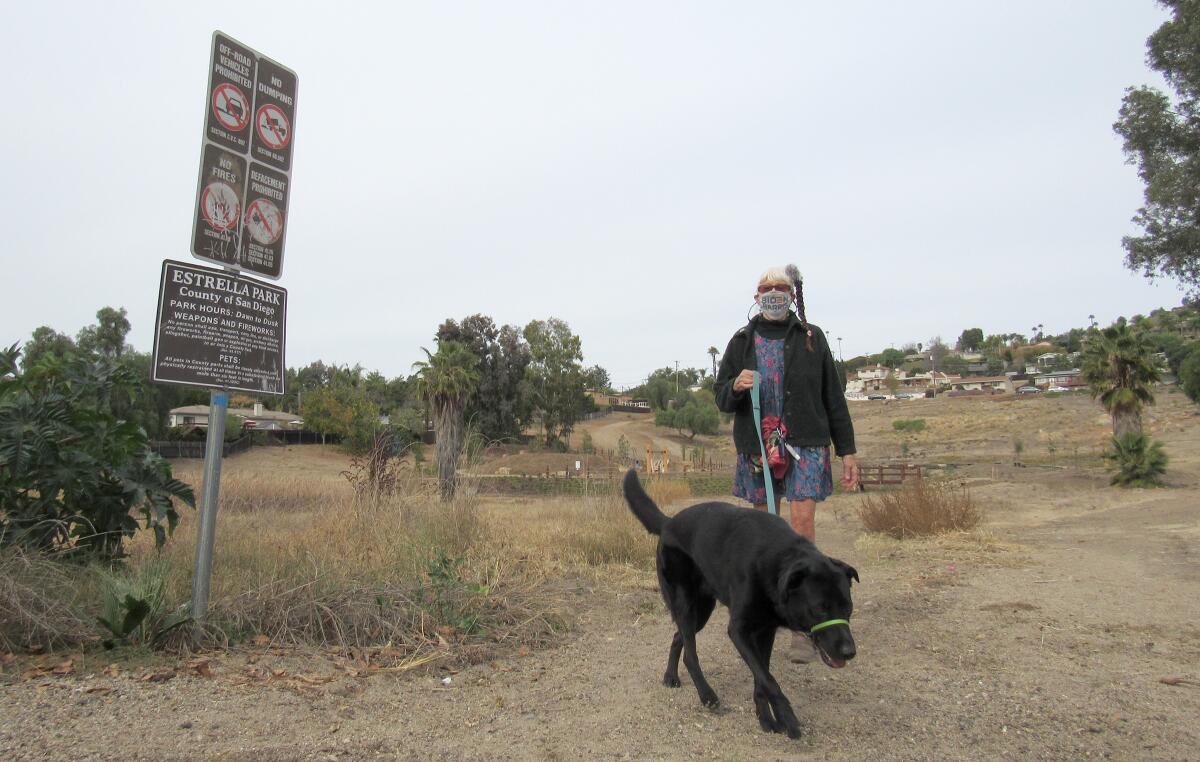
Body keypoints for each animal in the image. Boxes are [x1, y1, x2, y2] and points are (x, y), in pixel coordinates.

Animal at [624, 470, 859, 739]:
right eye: (819, 608)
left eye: (848, 608)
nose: (849, 652)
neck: (776, 563)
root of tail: (668, 522)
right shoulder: (738, 630)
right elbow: (769, 680)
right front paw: (788, 718)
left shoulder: (765, 630)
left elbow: (761, 677)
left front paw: (766, 718)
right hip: (685, 603)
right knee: (690, 655)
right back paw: (707, 695)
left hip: (702, 610)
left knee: (677, 637)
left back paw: (670, 676)